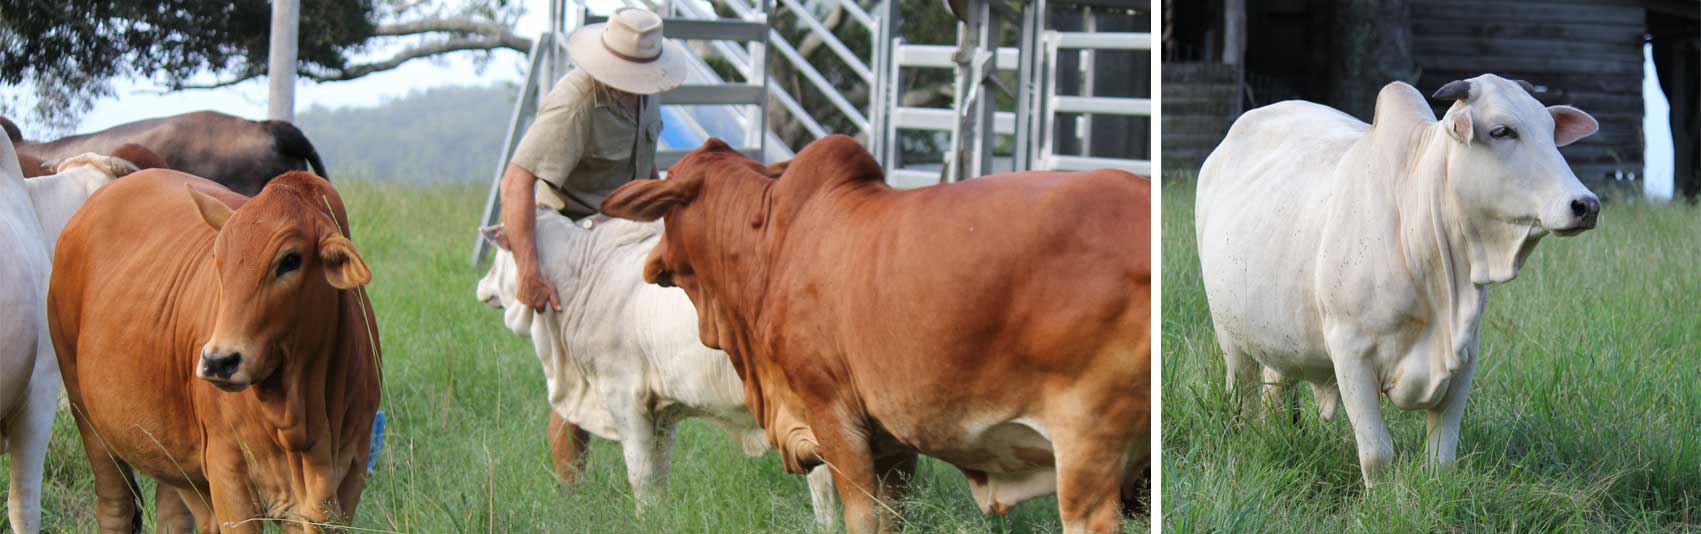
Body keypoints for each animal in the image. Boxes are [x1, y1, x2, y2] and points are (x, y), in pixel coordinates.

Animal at [48, 170, 381, 530]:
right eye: (218, 260)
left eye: (290, 260)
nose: (219, 361)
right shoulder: (228, 471)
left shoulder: (348, 480)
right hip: (88, 417)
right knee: (115, 507)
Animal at [479, 211, 836, 520]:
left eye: (498, 256)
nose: (482, 285)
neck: (583, 278)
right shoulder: (662, 412)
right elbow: (659, 472)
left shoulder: (624, 398)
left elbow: (641, 475)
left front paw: (644, 517)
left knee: (824, 481)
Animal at [602, 137, 1156, 534]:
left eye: (667, 205)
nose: (651, 263)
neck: (771, 245)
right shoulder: (892, 438)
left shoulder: (832, 410)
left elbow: (861, 515)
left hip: (1088, 448)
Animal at [1190, 73, 1598, 486]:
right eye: (1502, 131)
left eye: (1550, 129)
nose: (1586, 205)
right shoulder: (1350, 352)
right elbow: (1376, 455)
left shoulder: (1465, 356)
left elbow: (1441, 459)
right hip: (1230, 336)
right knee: (1243, 397)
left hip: (1283, 336)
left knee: (1276, 388)